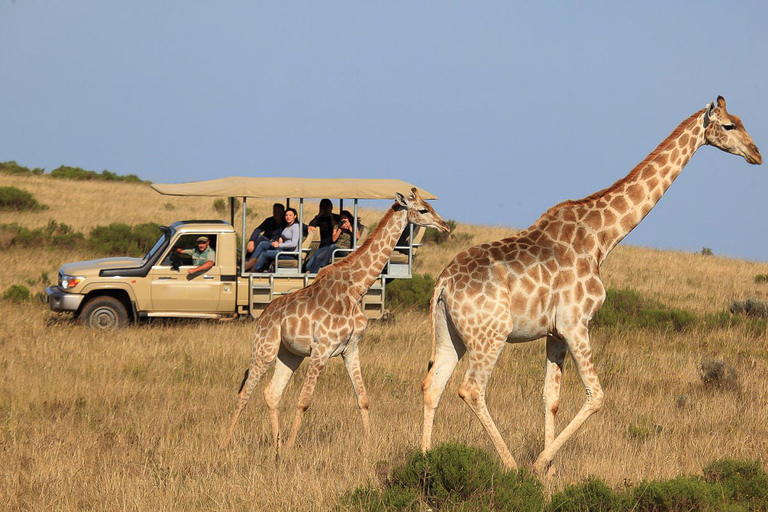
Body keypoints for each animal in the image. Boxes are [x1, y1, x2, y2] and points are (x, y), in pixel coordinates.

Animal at [222, 188, 450, 448]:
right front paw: (290, 447)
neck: (356, 288)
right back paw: (226, 443)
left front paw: (369, 446)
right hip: (265, 348)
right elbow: (304, 401)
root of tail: (262, 317)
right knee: (244, 393)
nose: (444, 226)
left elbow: (363, 398)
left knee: (272, 392)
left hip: (289, 354)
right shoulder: (321, 349)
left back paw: (276, 445)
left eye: (430, 206)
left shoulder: (351, 348)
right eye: (423, 209)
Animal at [420, 94, 760, 474]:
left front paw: (550, 474)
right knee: (471, 389)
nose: (756, 153)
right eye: (729, 125)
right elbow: (596, 396)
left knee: (432, 385)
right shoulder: (576, 323)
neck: (602, 237)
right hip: (490, 334)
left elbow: (550, 398)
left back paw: (424, 462)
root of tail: (443, 283)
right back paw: (510, 465)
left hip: (449, 332)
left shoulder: (555, 332)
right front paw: (539, 465)